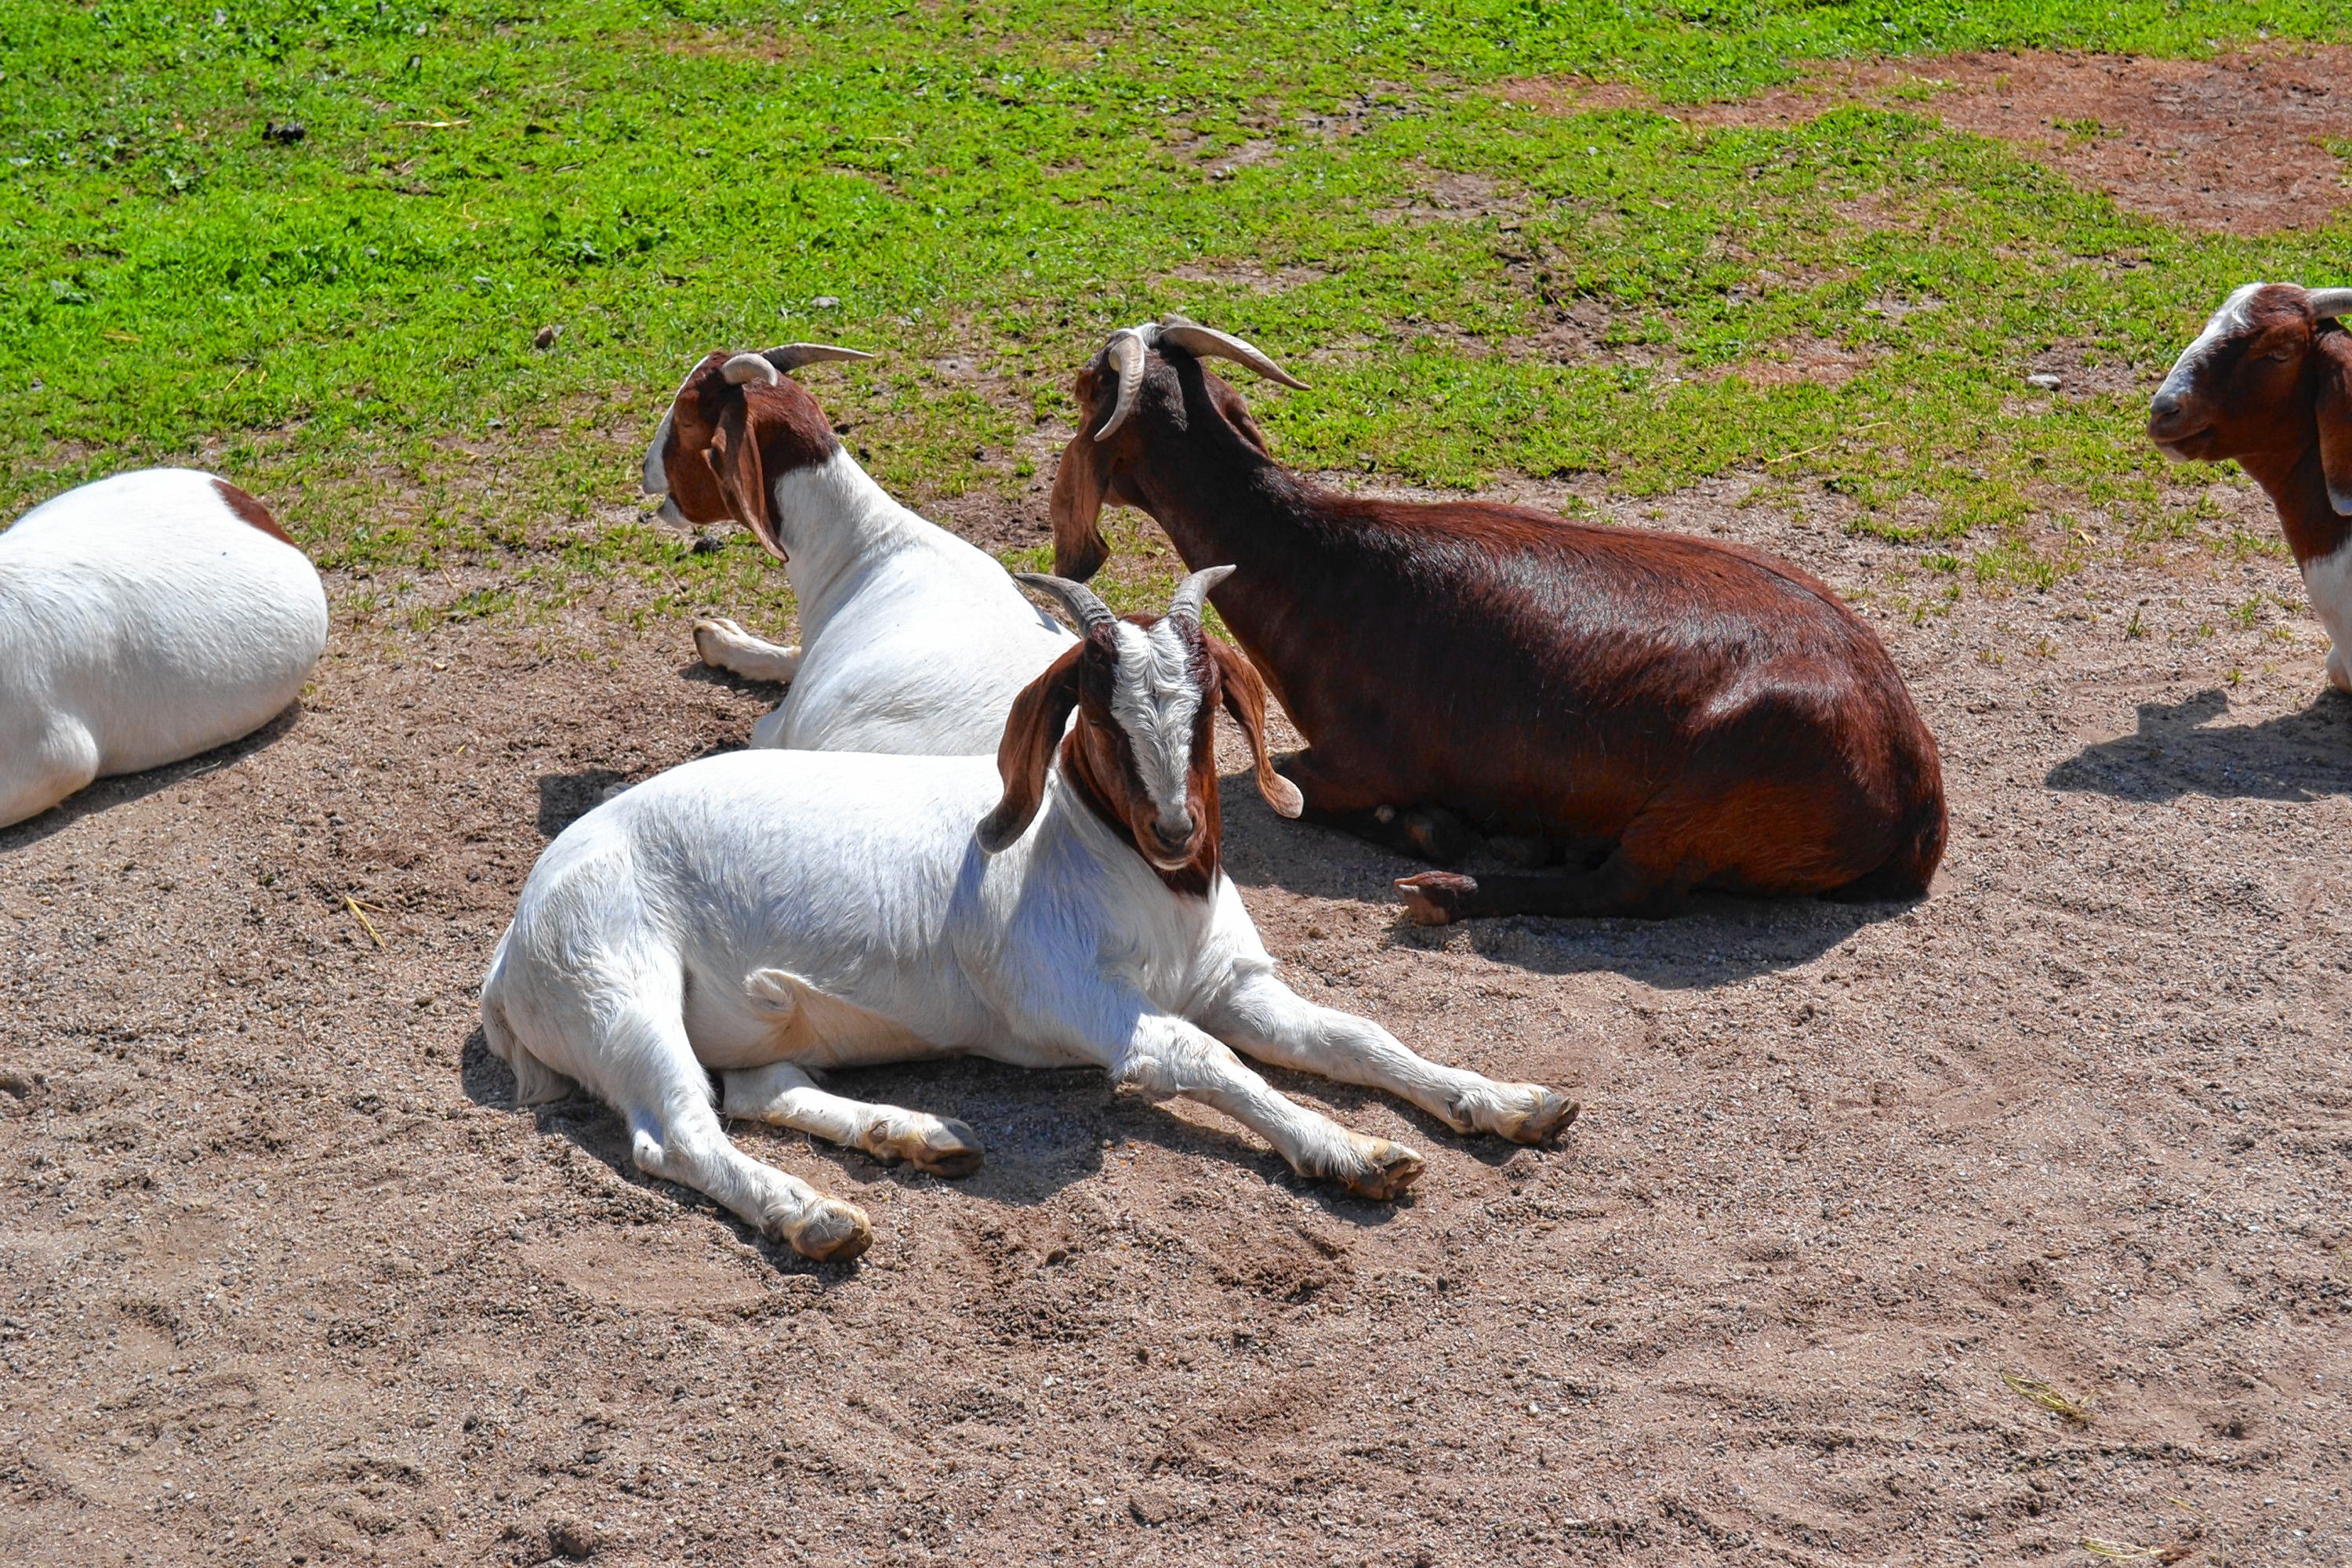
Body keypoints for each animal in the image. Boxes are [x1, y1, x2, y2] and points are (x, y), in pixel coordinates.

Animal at [482, 571, 1581, 1269]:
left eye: (1207, 709)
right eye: (1098, 713)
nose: (1176, 828)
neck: (1125, 874)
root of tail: (507, 956)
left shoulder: (1235, 984)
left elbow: (1358, 1035)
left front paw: (1512, 1100)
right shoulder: (1089, 1003)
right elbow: (1205, 1060)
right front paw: (1351, 1152)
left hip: (741, 1022)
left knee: (756, 1088)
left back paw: (917, 1134)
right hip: (618, 990)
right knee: (676, 1132)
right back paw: (817, 1215)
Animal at [640, 345, 1073, 752]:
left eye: (686, 419)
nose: (645, 469)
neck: (863, 546)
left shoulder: (777, 730)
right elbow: (794, 654)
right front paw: (721, 639)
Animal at [1049, 319, 1947, 931]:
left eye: (1084, 389)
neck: (1320, 567)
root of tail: (1916, 796)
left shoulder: (1360, 760)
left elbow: (1305, 793)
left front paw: (1434, 830)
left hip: (1723, 777)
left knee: (1635, 889)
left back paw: (1453, 892)